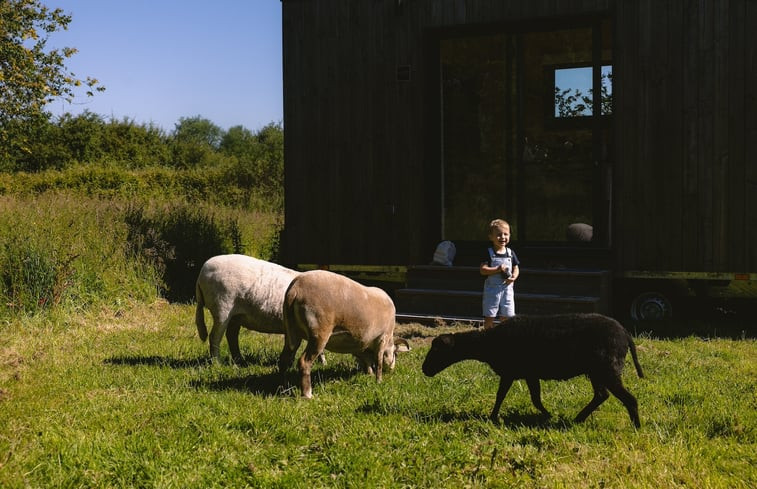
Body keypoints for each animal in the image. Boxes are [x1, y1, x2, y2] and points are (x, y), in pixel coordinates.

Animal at [276, 268, 408, 398]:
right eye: (396, 354)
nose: (391, 370)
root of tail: (295, 288)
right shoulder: (382, 338)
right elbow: (379, 361)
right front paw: (379, 381)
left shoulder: (360, 344)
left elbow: (366, 360)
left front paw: (369, 374)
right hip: (319, 332)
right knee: (304, 362)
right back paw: (307, 394)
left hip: (291, 332)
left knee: (283, 359)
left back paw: (282, 388)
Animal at [420, 312, 644, 428]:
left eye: (437, 351)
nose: (424, 369)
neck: (487, 343)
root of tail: (625, 333)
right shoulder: (527, 373)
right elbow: (529, 397)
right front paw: (546, 415)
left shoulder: (511, 372)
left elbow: (505, 396)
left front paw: (494, 417)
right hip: (597, 371)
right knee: (601, 395)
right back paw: (578, 419)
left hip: (607, 368)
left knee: (629, 399)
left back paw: (636, 427)